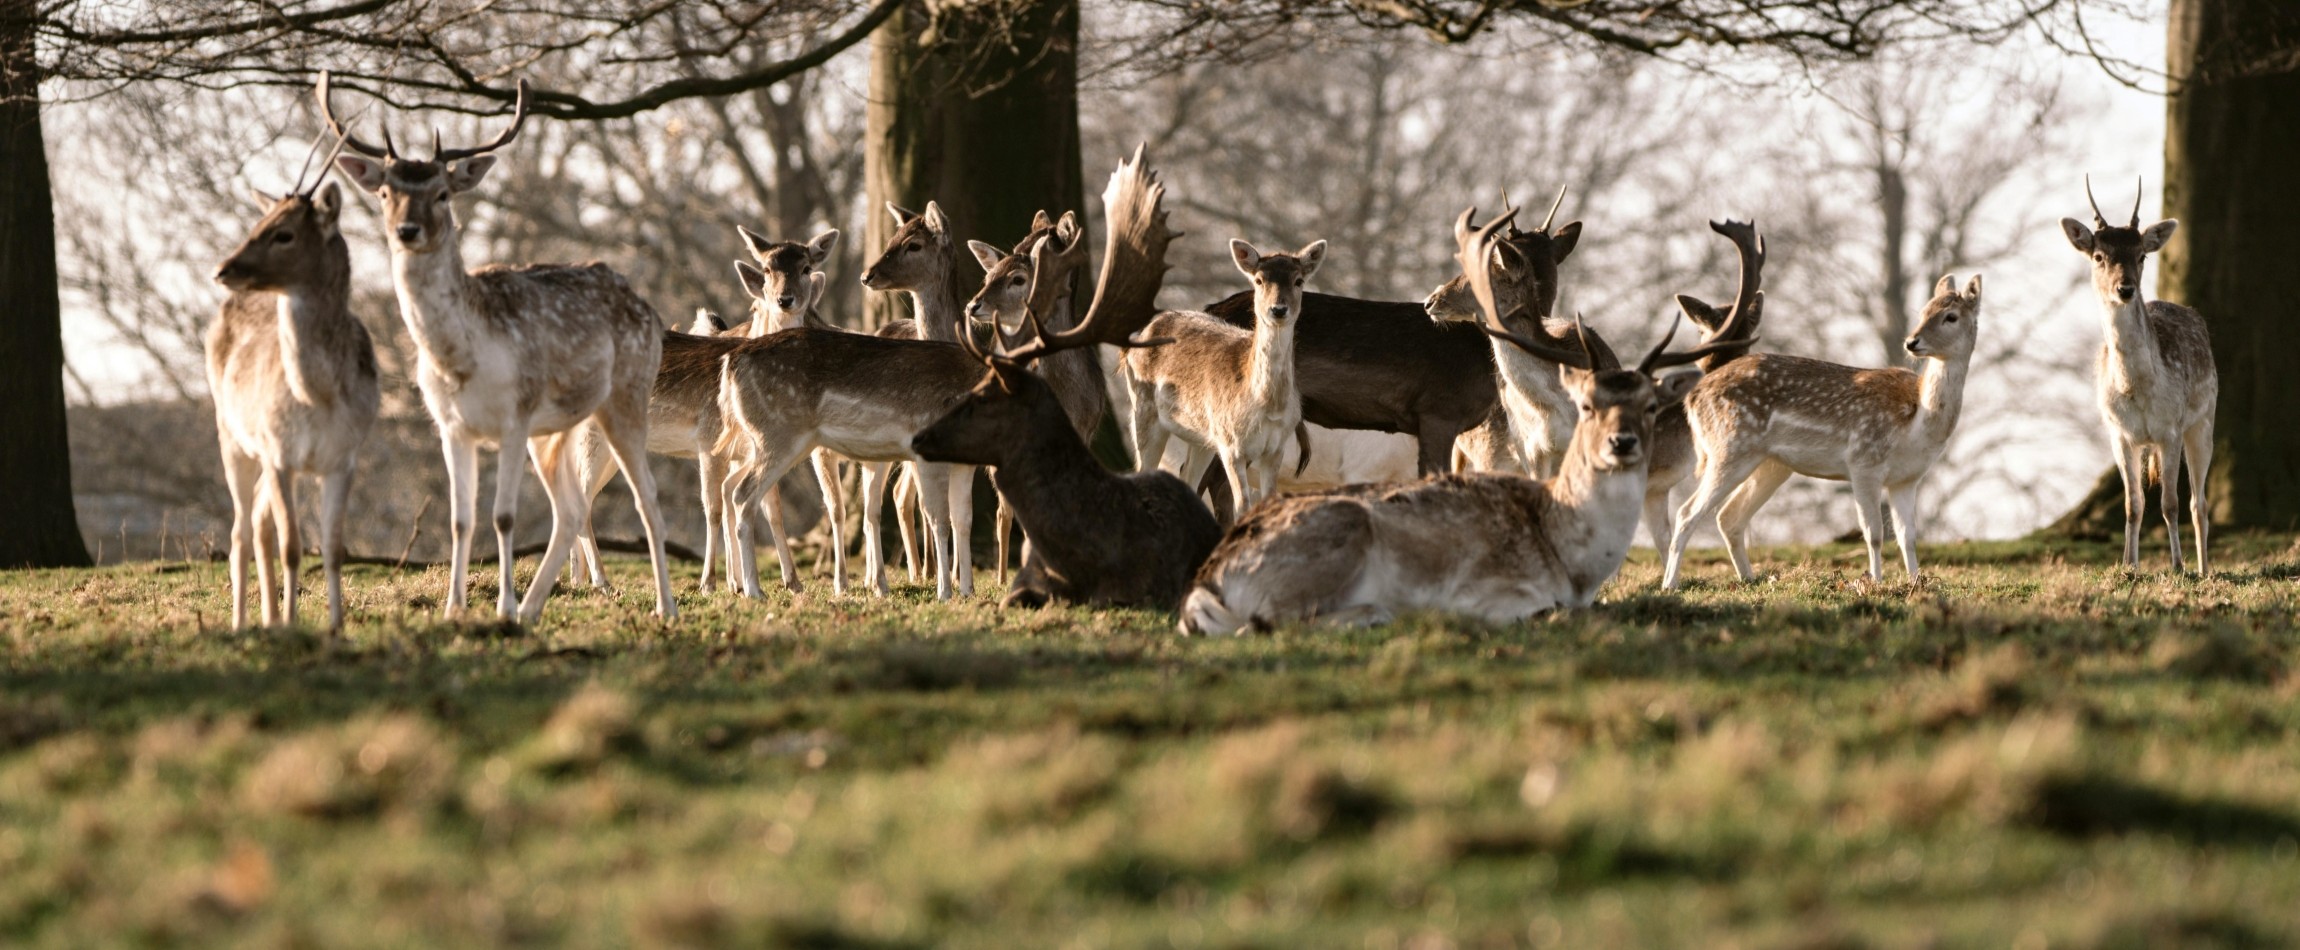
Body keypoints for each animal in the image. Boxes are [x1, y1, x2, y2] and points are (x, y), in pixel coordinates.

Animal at [206, 133, 381, 631]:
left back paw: (266, 619)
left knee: (260, 523)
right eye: (258, 222)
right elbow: (292, 547)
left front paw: (335, 627)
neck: (318, 395)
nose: (222, 269)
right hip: (232, 435)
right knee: (241, 530)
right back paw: (243, 624)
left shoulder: (344, 457)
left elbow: (334, 549)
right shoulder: (280, 453)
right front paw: (290, 624)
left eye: (283, 233)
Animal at [320, 72, 677, 624]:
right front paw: (455, 609)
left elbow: (504, 517)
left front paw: (502, 607)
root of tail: (648, 309)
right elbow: (460, 520)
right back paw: (533, 609)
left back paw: (665, 608)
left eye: (443, 193)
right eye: (384, 191)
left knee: (648, 499)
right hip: (556, 431)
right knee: (572, 508)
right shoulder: (451, 426)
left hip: (627, 395)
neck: (461, 360)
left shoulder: (515, 416)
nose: (407, 230)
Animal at [1122, 236, 1329, 517]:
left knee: (1187, 477)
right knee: (1143, 469)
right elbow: (1242, 506)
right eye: (1259, 280)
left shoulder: (1276, 448)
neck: (1267, 406)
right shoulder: (1231, 445)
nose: (1278, 309)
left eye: (1298, 281)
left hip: (1202, 437)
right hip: (1143, 410)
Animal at [1660, 272, 1982, 589]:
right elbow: (1874, 534)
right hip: (1728, 448)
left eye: (1950, 316)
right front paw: (1875, 583)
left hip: (1768, 463)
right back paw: (1670, 584)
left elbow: (1908, 537)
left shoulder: (1907, 479)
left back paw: (1749, 579)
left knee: (1728, 516)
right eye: (1924, 312)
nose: (1912, 342)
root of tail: (1693, 397)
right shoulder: (1863, 461)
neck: (1916, 424)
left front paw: (1916, 583)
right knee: (1687, 512)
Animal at [2059, 177, 2217, 574]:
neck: (2137, 388)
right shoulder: (2119, 433)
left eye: (2141, 255)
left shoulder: (2170, 428)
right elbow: (2133, 506)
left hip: (2204, 418)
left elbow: (2170, 503)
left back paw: (2204, 568)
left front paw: (2177, 566)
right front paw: (2129, 565)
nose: (2125, 288)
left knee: (2198, 503)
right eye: (2099, 256)